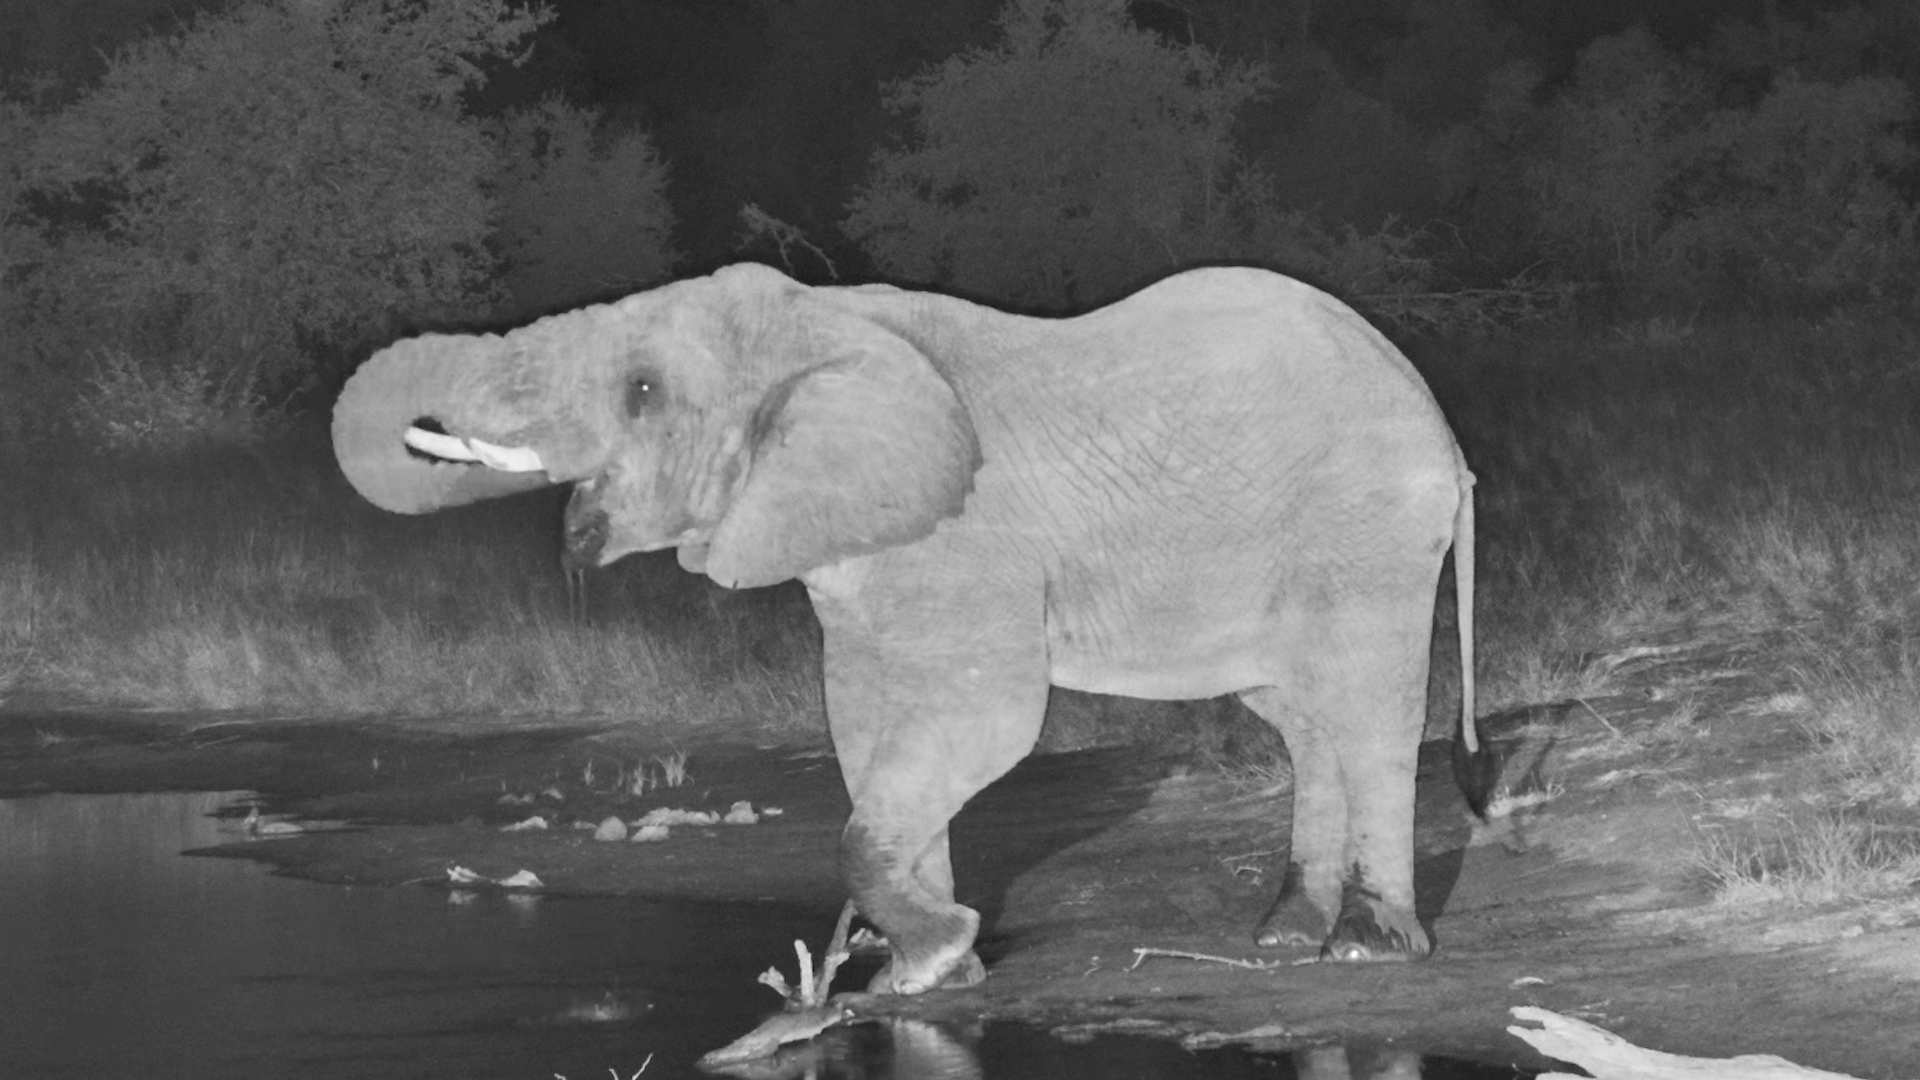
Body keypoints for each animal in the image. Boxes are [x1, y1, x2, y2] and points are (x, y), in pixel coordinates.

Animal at [331, 262, 1486, 994]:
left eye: (643, 390)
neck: (819, 320)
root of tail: (1442, 424)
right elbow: (861, 723)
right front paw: (934, 971)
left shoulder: (965, 535)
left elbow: (989, 719)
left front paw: (928, 961)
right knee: (1302, 715)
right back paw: (1286, 936)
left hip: (1370, 527)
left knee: (1368, 702)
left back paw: (1368, 951)